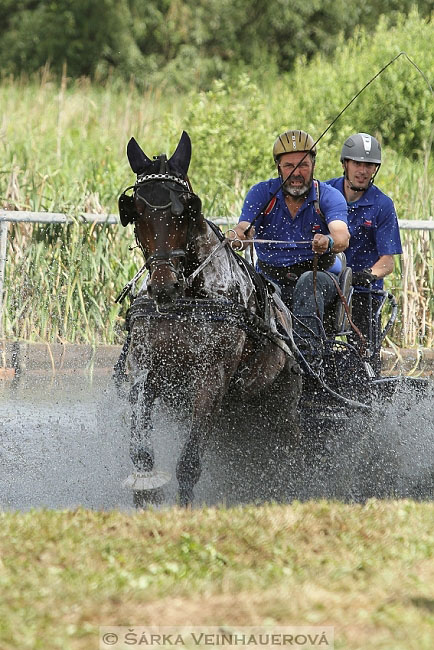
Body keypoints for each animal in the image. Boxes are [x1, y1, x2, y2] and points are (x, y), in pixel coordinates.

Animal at [117, 130, 304, 506]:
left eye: (187, 210)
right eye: (136, 211)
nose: (164, 286)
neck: (189, 298)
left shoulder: (211, 381)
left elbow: (189, 463)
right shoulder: (145, 371)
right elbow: (141, 452)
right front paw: (145, 495)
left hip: (281, 406)